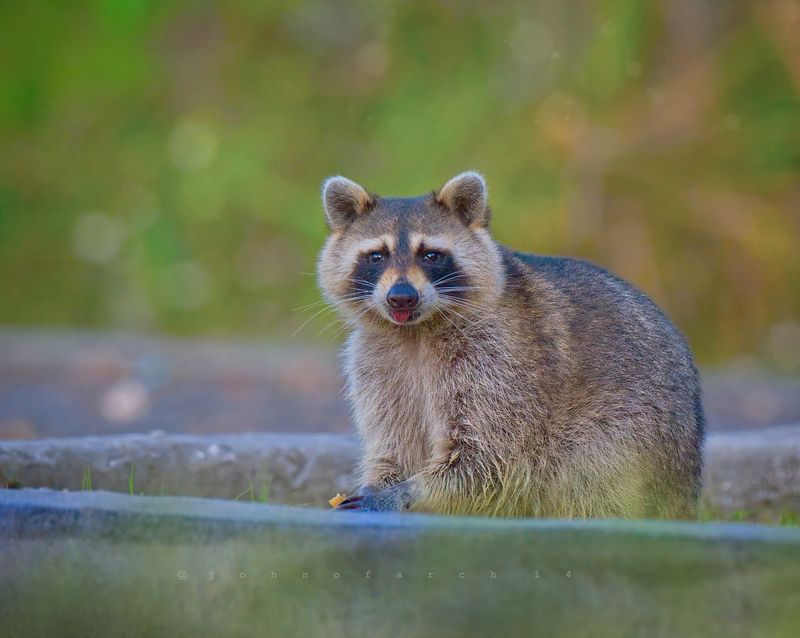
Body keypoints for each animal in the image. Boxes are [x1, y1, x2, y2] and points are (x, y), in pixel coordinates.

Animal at [317, 171, 704, 518]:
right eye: (376, 256)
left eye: (431, 255)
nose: (401, 297)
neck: (415, 331)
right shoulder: (377, 362)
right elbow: (394, 440)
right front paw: (384, 481)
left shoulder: (502, 360)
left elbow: (488, 455)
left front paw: (406, 492)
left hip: (632, 429)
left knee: (591, 469)